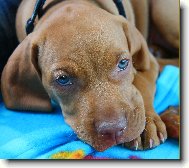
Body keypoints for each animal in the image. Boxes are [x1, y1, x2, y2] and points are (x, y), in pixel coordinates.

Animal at [1, 0, 167, 151]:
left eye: (123, 63)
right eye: (63, 79)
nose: (113, 130)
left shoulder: (149, 62)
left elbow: (143, 85)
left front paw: (147, 123)